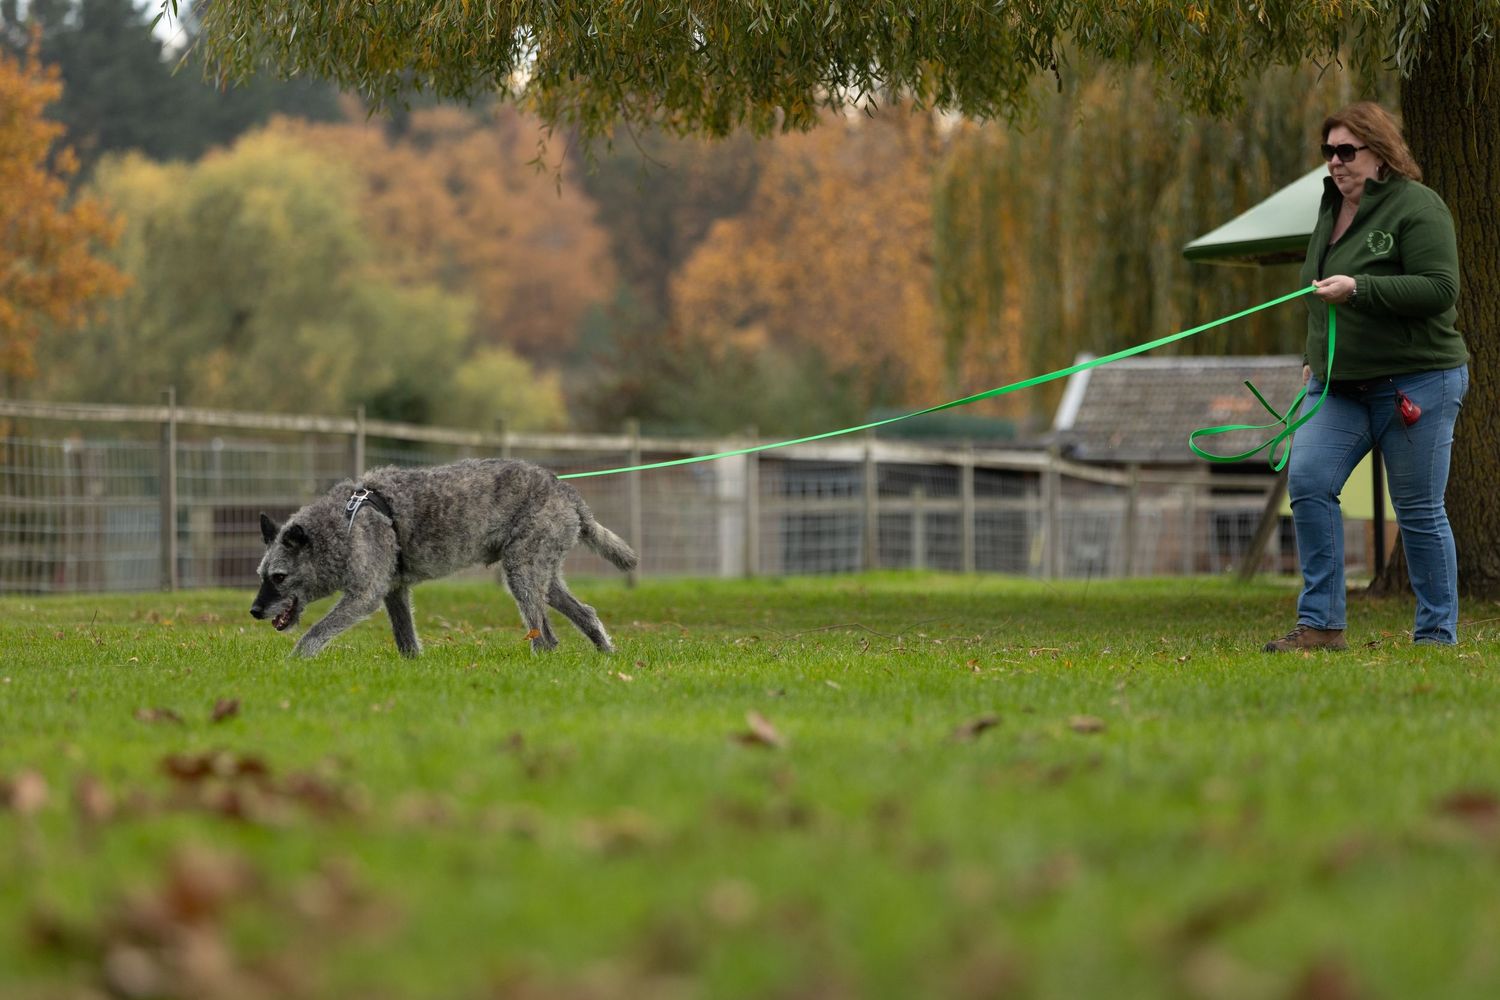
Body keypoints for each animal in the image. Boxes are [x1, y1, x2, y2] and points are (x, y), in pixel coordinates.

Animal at [250, 458, 638, 657]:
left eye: (279, 577)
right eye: (261, 574)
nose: (254, 610)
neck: (344, 524)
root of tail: (567, 491)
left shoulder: (363, 596)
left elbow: (314, 633)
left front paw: (294, 663)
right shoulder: (394, 592)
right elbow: (405, 637)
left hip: (522, 573)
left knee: (544, 635)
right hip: (542, 574)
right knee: (584, 613)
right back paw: (606, 654)